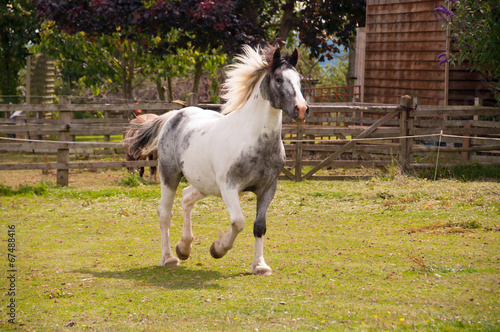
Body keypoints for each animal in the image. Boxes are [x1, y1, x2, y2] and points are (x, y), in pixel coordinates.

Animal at [128, 46, 308, 274]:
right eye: (278, 79)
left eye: (300, 80)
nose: (301, 109)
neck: (254, 140)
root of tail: (176, 114)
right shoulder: (229, 186)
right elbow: (238, 222)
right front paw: (218, 249)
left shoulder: (268, 187)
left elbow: (259, 226)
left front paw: (260, 265)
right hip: (169, 176)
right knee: (165, 213)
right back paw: (169, 258)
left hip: (204, 184)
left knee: (187, 198)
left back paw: (184, 248)